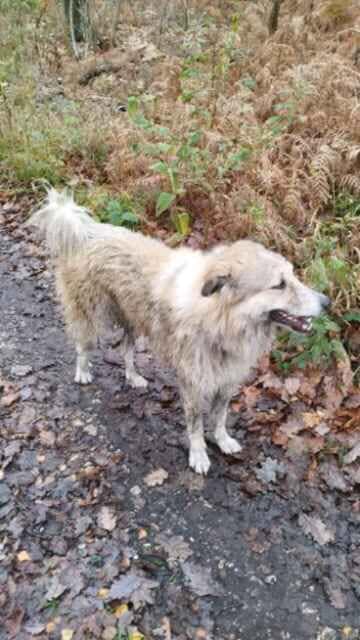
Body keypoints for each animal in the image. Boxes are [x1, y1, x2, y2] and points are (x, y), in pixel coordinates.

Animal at [29, 188, 330, 472]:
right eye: (279, 285)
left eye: (292, 275)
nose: (327, 302)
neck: (219, 318)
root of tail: (87, 232)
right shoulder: (194, 383)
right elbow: (196, 426)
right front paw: (198, 455)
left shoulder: (226, 380)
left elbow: (219, 417)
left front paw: (222, 440)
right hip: (92, 314)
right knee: (84, 344)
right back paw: (82, 371)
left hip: (133, 319)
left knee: (126, 349)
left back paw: (133, 376)